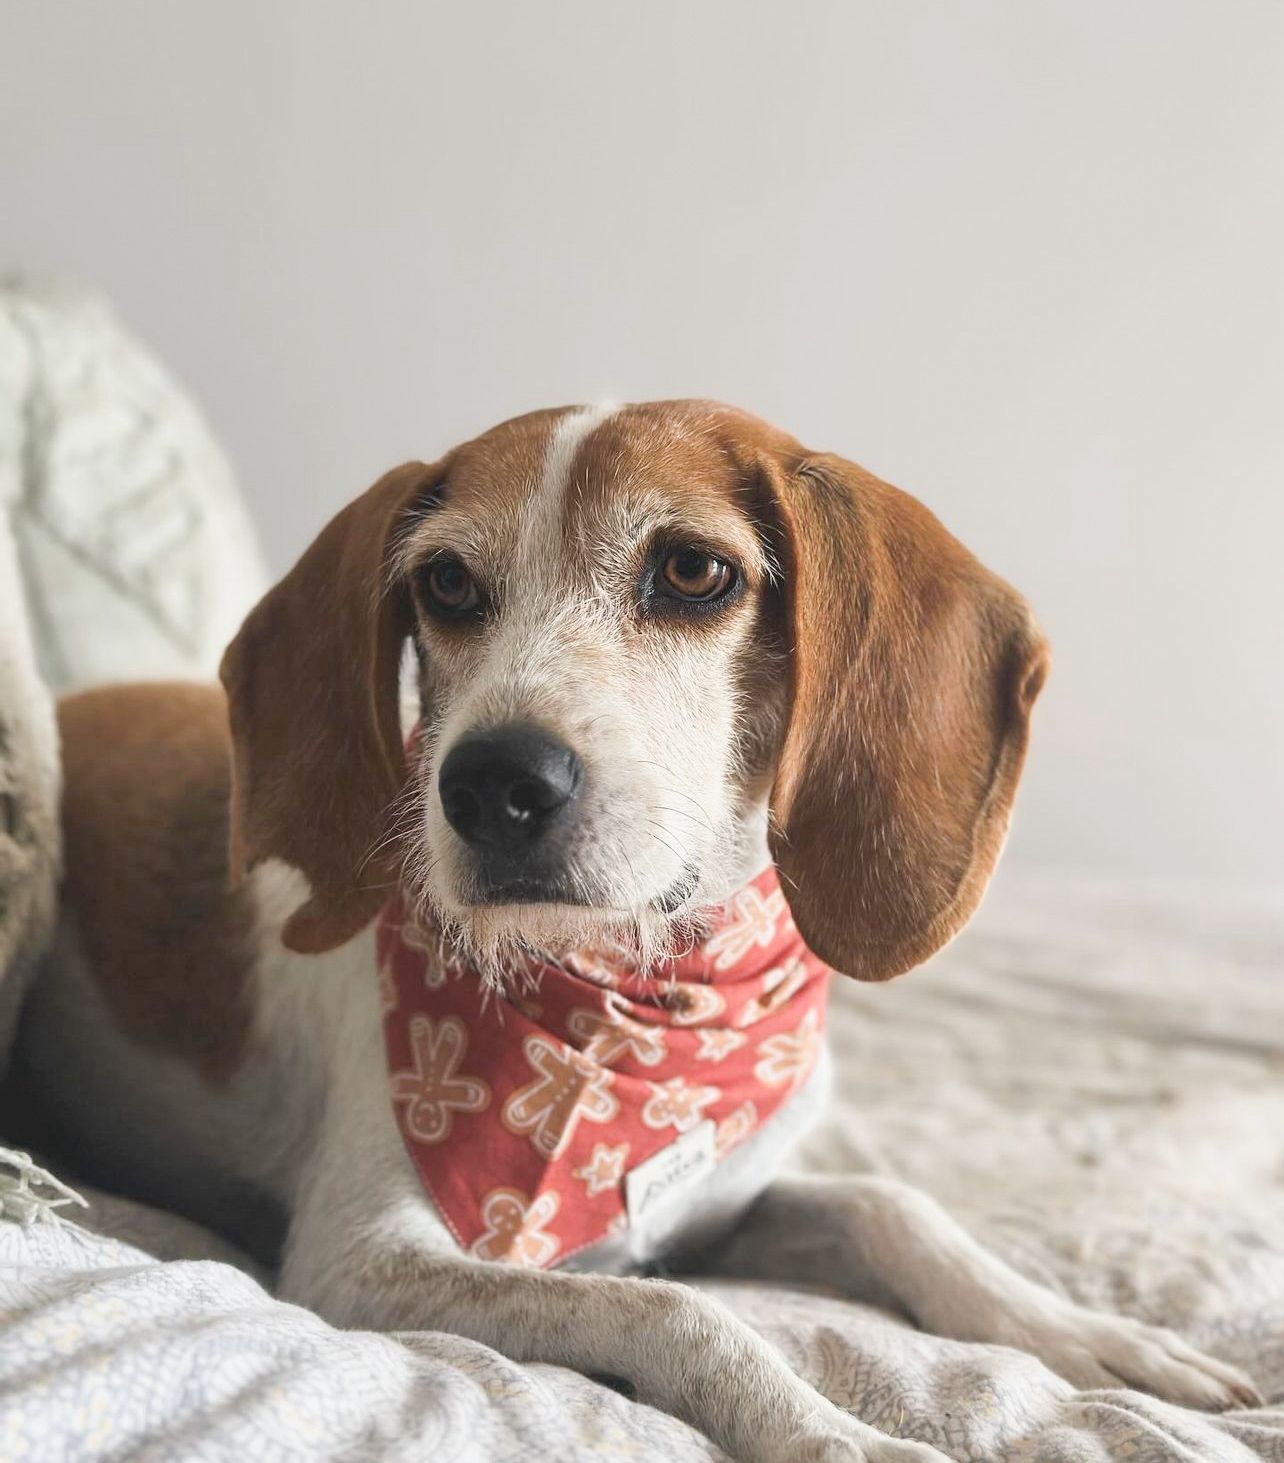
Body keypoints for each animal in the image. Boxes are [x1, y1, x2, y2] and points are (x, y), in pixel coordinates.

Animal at [15, 403, 1263, 1463]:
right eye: (447, 582)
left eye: (693, 570)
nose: (491, 782)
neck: (653, 989)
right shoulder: (360, 1261)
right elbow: (672, 1307)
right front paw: (831, 1431)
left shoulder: (723, 1203)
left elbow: (888, 1202)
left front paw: (1079, 1329)